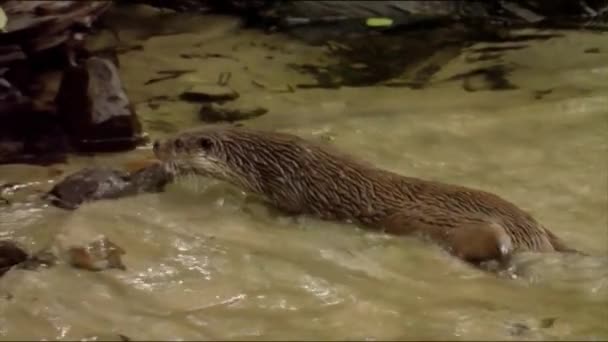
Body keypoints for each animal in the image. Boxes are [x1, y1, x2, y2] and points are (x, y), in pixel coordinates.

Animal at [152, 125, 580, 268]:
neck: (270, 161)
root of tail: (533, 232)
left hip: (480, 232)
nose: (155, 143)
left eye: (178, 142)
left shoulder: (289, 193)